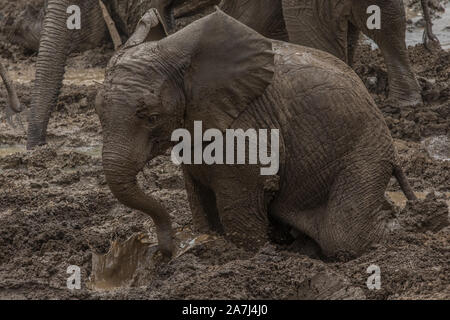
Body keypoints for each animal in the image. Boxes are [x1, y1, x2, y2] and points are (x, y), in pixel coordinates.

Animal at [96, 10, 416, 258]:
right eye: (98, 114)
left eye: (151, 118)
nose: (166, 251)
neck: (175, 50)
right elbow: (198, 193)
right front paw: (210, 240)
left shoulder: (245, 119)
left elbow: (242, 191)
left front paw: (249, 257)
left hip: (366, 152)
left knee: (342, 236)